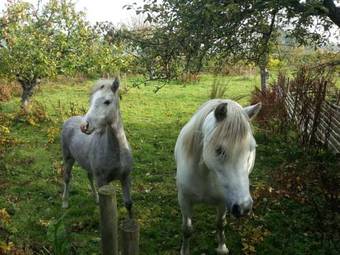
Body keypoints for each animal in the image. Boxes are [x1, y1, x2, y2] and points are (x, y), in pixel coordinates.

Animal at [61, 78, 133, 216]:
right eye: (91, 100)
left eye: (107, 101)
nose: (84, 126)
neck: (117, 152)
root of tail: (69, 119)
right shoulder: (101, 181)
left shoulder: (125, 178)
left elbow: (128, 204)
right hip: (68, 158)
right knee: (67, 178)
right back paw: (65, 203)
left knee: (89, 176)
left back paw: (96, 199)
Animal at [174, 98, 262, 254]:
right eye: (219, 150)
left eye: (252, 148)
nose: (244, 207)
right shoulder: (184, 200)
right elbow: (187, 230)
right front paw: (184, 250)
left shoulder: (223, 202)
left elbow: (220, 224)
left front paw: (222, 247)